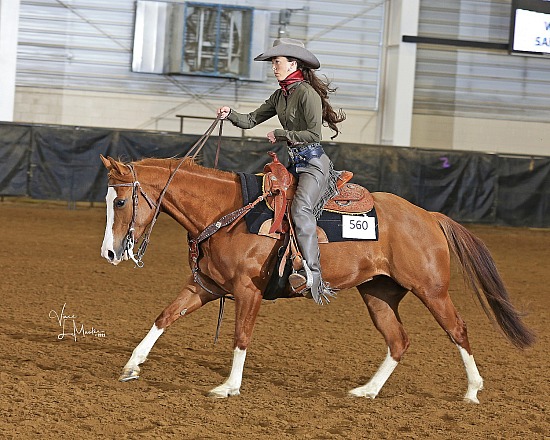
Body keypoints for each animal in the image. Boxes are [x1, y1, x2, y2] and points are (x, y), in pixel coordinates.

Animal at [100, 154, 540, 402]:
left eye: (120, 201)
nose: (109, 252)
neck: (227, 213)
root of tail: (428, 216)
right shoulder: (206, 287)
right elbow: (164, 317)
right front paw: (131, 366)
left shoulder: (247, 291)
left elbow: (241, 336)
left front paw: (229, 386)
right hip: (378, 293)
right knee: (398, 340)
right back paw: (368, 391)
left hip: (432, 290)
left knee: (458, 331)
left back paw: (472, 391)